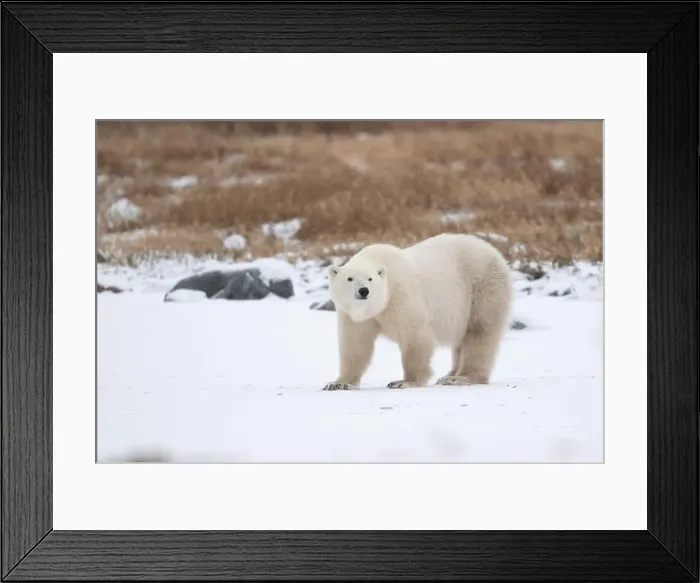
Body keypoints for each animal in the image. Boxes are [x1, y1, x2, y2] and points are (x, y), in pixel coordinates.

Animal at [321, 233, 513, 391]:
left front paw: (405, 382)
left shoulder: (401, 295)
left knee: (479, 332)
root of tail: (497, 254)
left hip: (483, 288)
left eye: (370, 279)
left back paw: (461, 378)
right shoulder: (353, 316)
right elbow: (355, 344)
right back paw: (449, 374)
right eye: (350, 278)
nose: (363, 291)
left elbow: (415, 335)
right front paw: (339, 383)